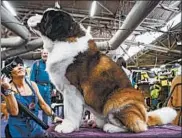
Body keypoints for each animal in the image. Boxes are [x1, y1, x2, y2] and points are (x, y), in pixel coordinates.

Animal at [27, 7, 177, 134]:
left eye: (45, 17)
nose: (30, 16)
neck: (64, 39)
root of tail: (145, 115)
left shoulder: (71, 89)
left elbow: (70, 110)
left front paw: (67, 126)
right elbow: (77, 111)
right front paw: (76, 125)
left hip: (116, 100)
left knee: (139, 126)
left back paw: (110, 127)